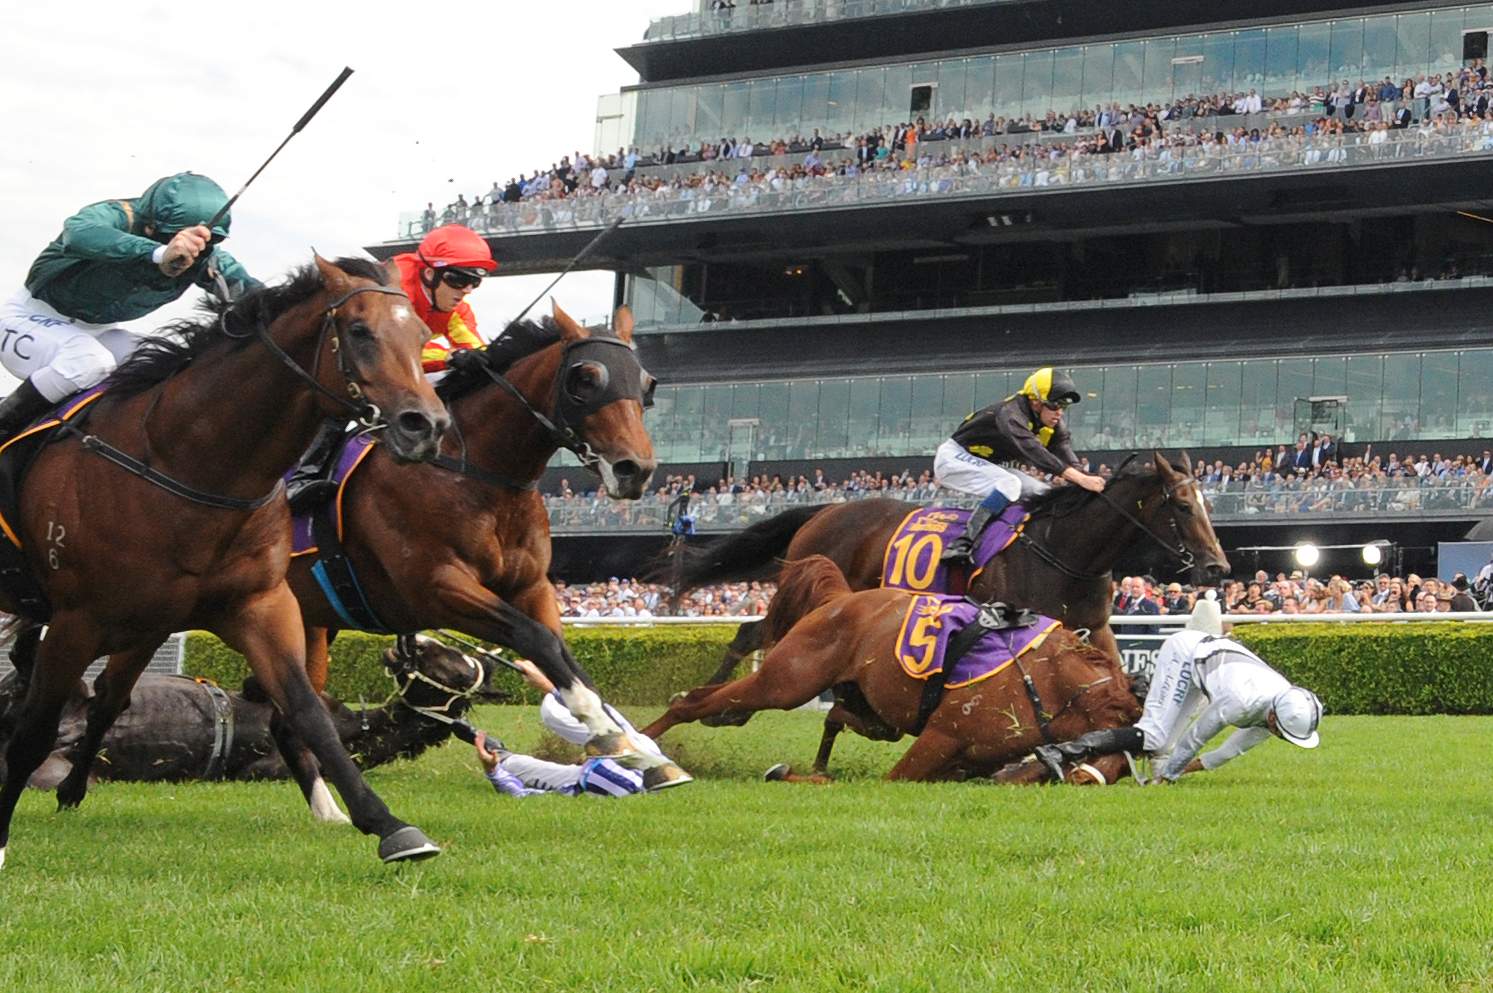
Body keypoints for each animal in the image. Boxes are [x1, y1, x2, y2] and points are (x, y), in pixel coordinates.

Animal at [272, 301, 683, 813]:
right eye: (585, 378)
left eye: (648, 384)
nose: (635, 469)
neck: (474, 475)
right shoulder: (437, 589)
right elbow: (536, 640)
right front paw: (611, 736)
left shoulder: (532, 587)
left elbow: (564, 658)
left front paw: (636, 749)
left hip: (312, 624)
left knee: (287, 718)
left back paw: (329, 812)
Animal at [641, 556, 1143, 783]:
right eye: (1101, 759)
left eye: (1123, 768)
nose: (1086, 780)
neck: (1046, 685)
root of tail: (840, 599)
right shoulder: (939, 739)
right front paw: (791, 772)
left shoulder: (969, 761)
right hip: (788, 681)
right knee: (695, 702)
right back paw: (647, 739)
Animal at [657, 453, 1228, 683]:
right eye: (1182, 506)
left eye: (1206, 502)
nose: (1218, 568)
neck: (1064, 550)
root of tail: (826, 510)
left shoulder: (1097, 628)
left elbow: (1117, 675)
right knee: (752, 634)